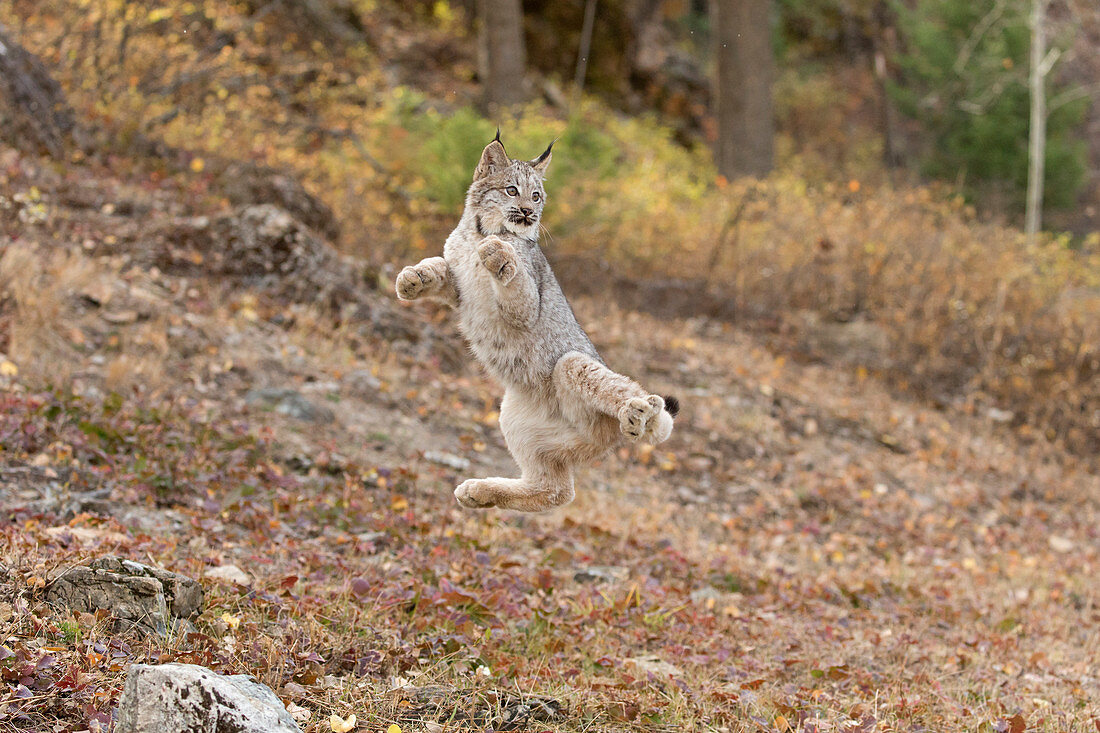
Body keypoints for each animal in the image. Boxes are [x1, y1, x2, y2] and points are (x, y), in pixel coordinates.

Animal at [391, 132, 673, 508]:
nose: (528, 212)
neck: (478, 230)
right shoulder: (460, 288)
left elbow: (515, 280)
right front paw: (413, 279)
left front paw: (498, 252)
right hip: (517, 418)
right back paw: (479, 492)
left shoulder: (525, 307)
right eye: (512, 190)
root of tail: (607, 440)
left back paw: (640, 412)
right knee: (557, 491)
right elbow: (439, 265)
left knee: (643, 410)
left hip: (571, 362)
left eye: (536, 196)